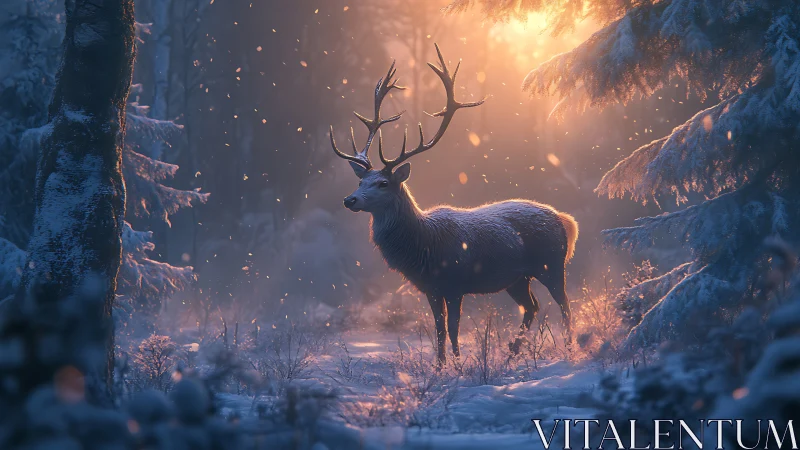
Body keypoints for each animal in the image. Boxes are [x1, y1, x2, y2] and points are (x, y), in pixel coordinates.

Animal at [330, 44, 578, 364]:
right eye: (361, 181)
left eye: (383, 183)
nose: (350, 199)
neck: (423, 245)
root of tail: (564, 220)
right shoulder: (430, 288)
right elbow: (438, 328)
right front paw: (439, 365)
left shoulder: (456, 282)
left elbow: (453, 327)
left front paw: (458, 365)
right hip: (517, 277)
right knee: (532, 306)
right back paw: (511, 353)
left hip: (552, 263)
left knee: (565, 305)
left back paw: (570, 348)